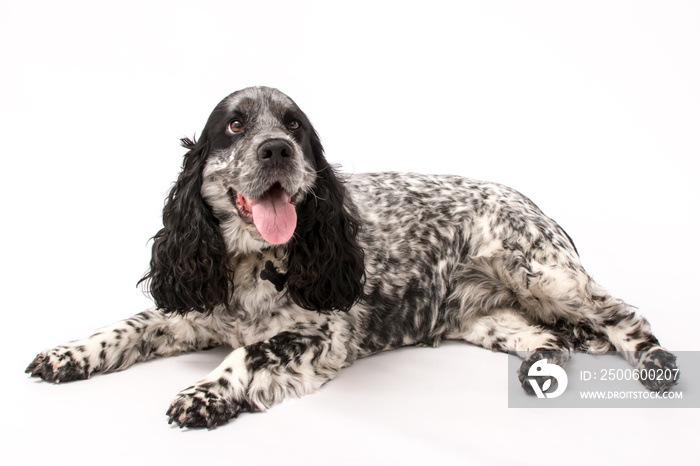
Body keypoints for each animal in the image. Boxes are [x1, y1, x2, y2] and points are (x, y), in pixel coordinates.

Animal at [27, 85, 680, 428]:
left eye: (295, 125)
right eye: (234, 125)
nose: (275, 148)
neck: (250, 265)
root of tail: (535, 204)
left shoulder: (320, 334)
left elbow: (247, 353)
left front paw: (206, 393)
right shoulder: (191, 304)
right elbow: (126, 327)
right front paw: (68, 354)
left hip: (543, 271)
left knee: (622, 314)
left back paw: (656, 363)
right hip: (485, 317)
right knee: (549, 338)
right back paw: (540, 368)